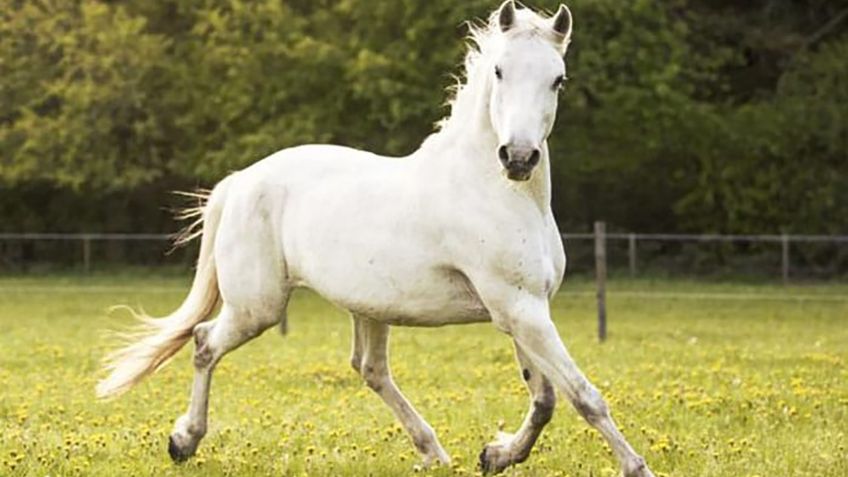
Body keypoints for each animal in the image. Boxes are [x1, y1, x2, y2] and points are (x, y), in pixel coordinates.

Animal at [97, 2, 656, 472]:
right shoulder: (520, 309)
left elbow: (544, 399)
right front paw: (636, 467)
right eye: (500, 71)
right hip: (258, 307)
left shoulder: (522, 310)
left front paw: (496, 454)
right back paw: (183, 441)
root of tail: (240, 181)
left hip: (368, 306)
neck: (495, 191)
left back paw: (433, 451)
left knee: (369, 369)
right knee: (204, 342)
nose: (517, 157)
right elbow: (583, 396)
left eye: (557, 79)